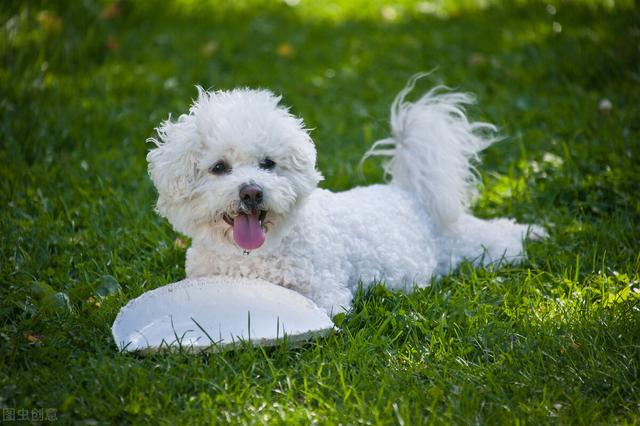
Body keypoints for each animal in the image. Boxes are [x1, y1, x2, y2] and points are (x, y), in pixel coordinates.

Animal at [148, 76, 544, 312]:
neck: (250, 257)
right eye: (219, 167)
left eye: (268, 163)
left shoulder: (325, 294)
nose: (252, 193)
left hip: (478, 248)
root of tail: (410, 193)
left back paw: (535, 233)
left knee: (503, 234)